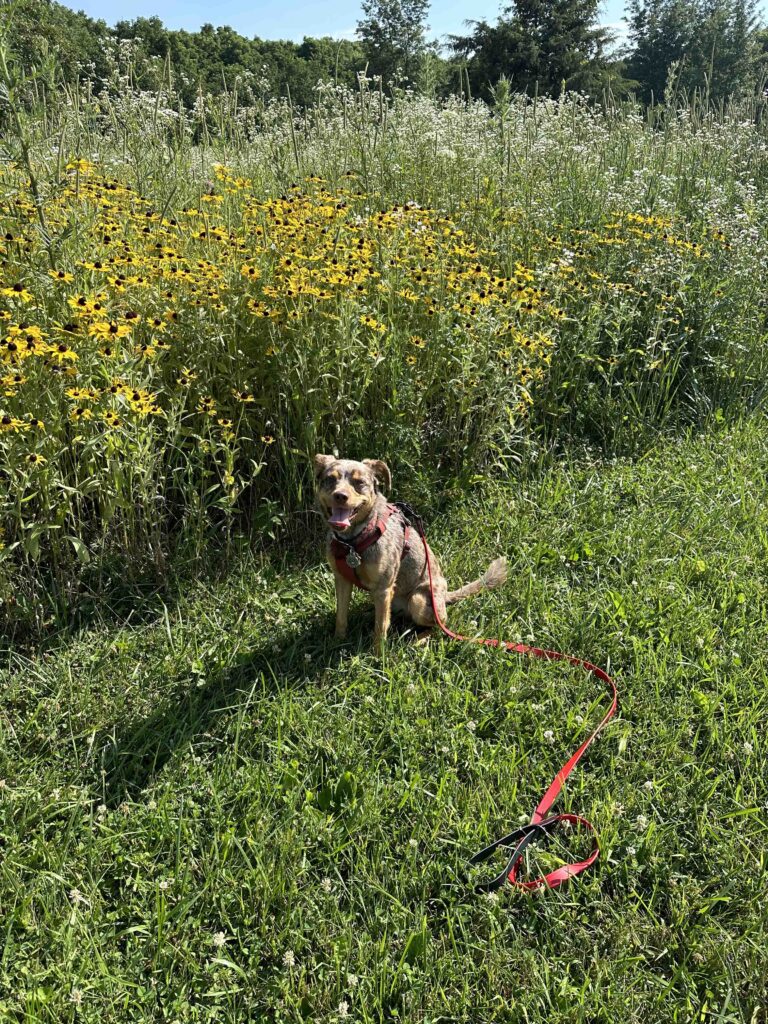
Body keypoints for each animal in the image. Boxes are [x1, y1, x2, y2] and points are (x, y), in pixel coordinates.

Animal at [315, 456, 507, 647]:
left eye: (359, 482)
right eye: (330, 479)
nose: (340, 496)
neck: (352, 543)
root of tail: (446, 596)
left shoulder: (383, 588)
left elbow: (380, 629)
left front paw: (378, 653)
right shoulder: (342, 580)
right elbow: (341, 617)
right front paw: (336, 642)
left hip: (418, 600)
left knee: (439, 625)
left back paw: (419, 639)